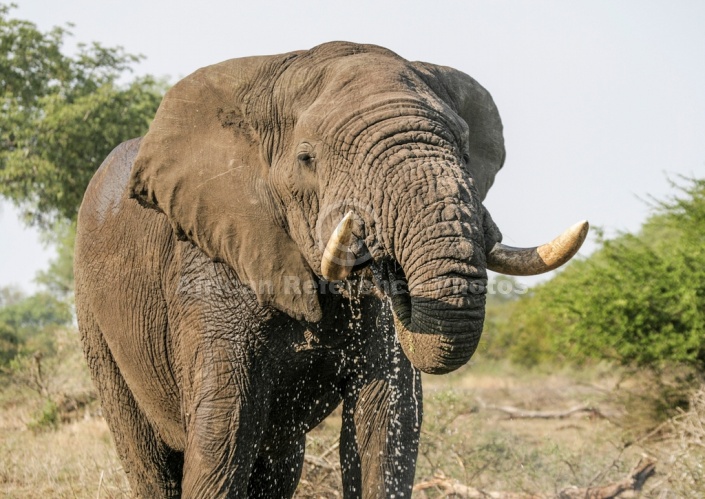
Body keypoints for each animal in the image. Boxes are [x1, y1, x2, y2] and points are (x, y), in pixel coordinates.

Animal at [74, 41, 584, 498]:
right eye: (307, 159)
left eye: (462, 145)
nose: (380, 254)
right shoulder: (209, 264)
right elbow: (225, 429)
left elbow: (387, 421)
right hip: (95, 322)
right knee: (150, 460)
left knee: (278, 462)